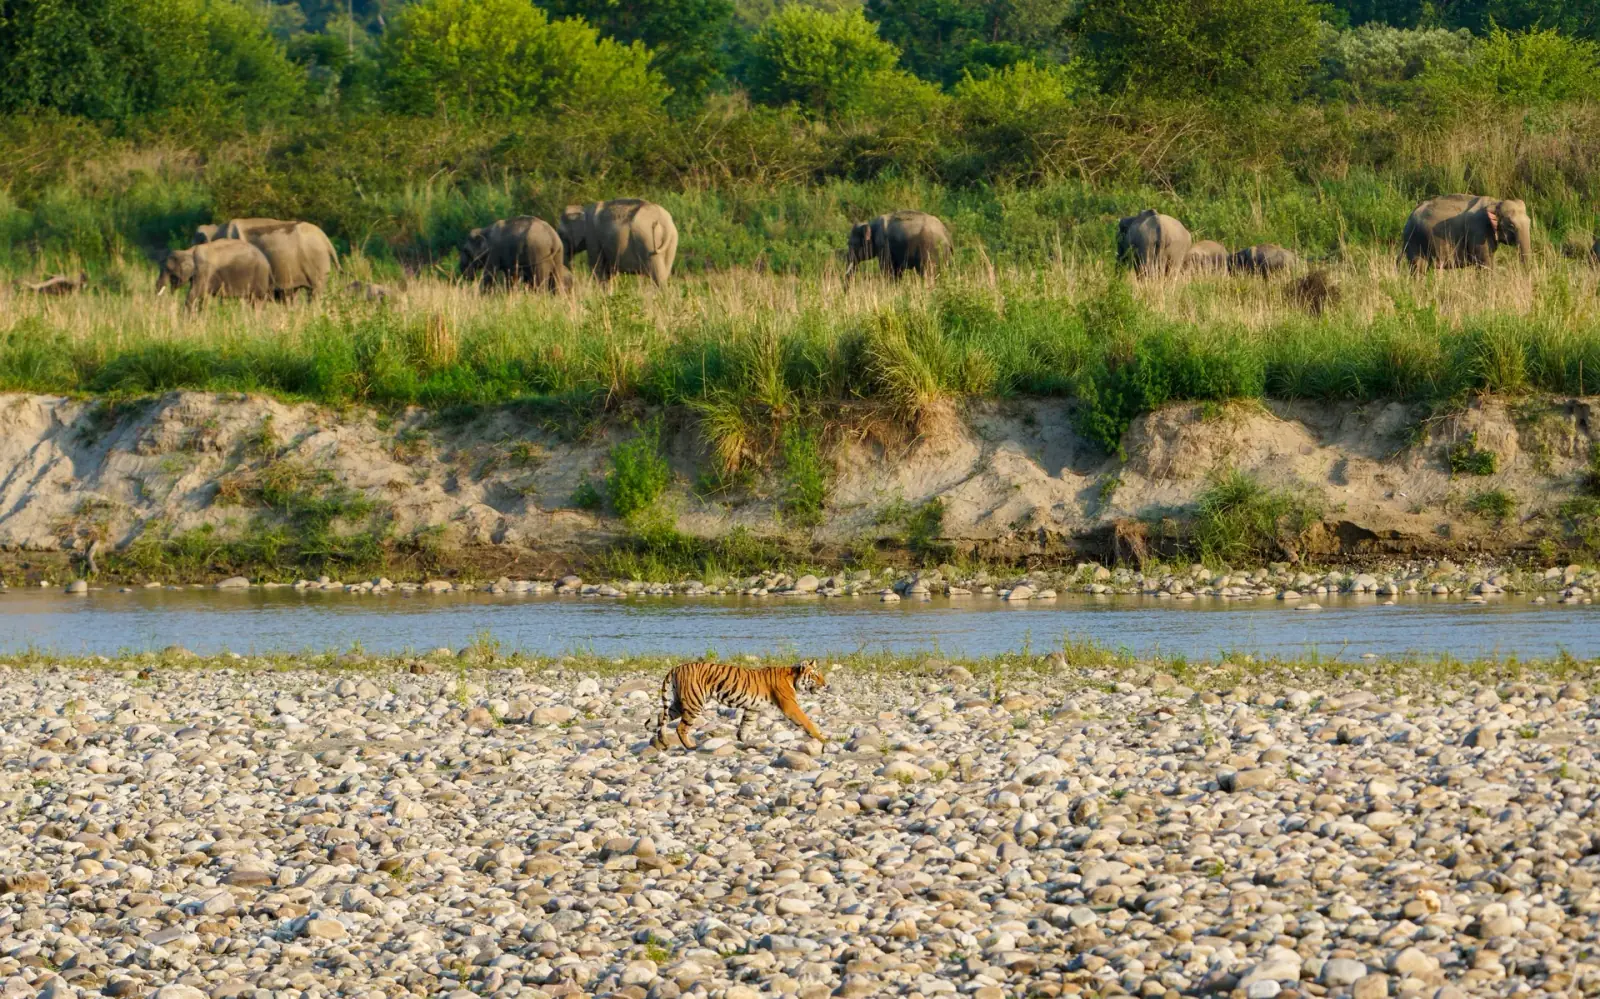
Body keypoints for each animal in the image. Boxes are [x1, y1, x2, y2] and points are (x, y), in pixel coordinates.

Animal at [651, 659, 828, 750]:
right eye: (815, 676)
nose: (826, 684)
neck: (793, 677)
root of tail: (676, 667)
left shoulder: (752, 709)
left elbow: (744, 727)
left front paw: (748, 744)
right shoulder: (790, 706)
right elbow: (807, 721)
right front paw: (823, 739)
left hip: (680, 703)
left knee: (661, 716)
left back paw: (662, 740)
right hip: (694, 703)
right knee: (681, 727)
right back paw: (690, 746)